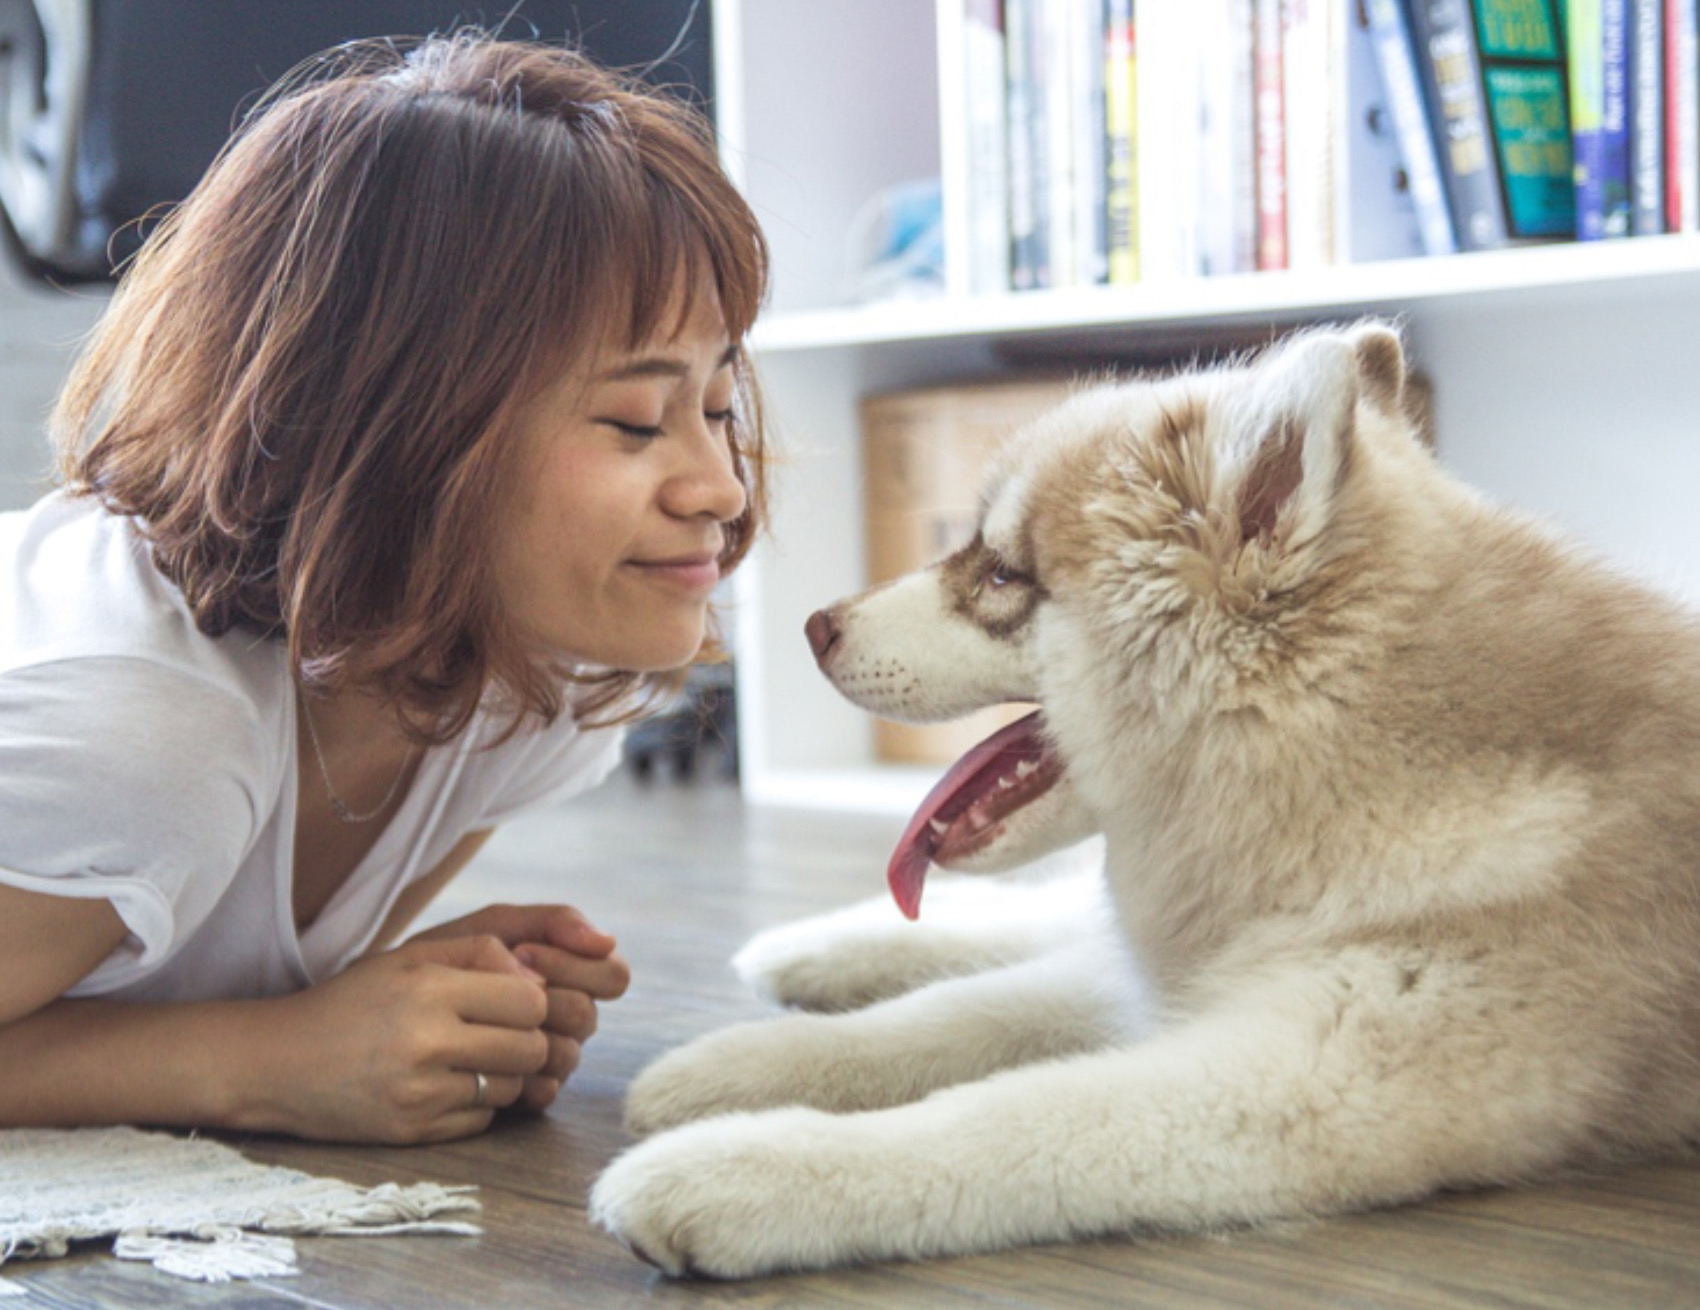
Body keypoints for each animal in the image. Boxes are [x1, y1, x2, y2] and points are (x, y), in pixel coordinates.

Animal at [591, 322, 1700, 1277]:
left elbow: (1004, 1116)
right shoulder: (1187, 978)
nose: (813, 627)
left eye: (1001, 574)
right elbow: (951, 1015)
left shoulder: (1301, 1077)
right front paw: (738, 1063)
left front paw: (738, 1168)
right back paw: (814, 949)